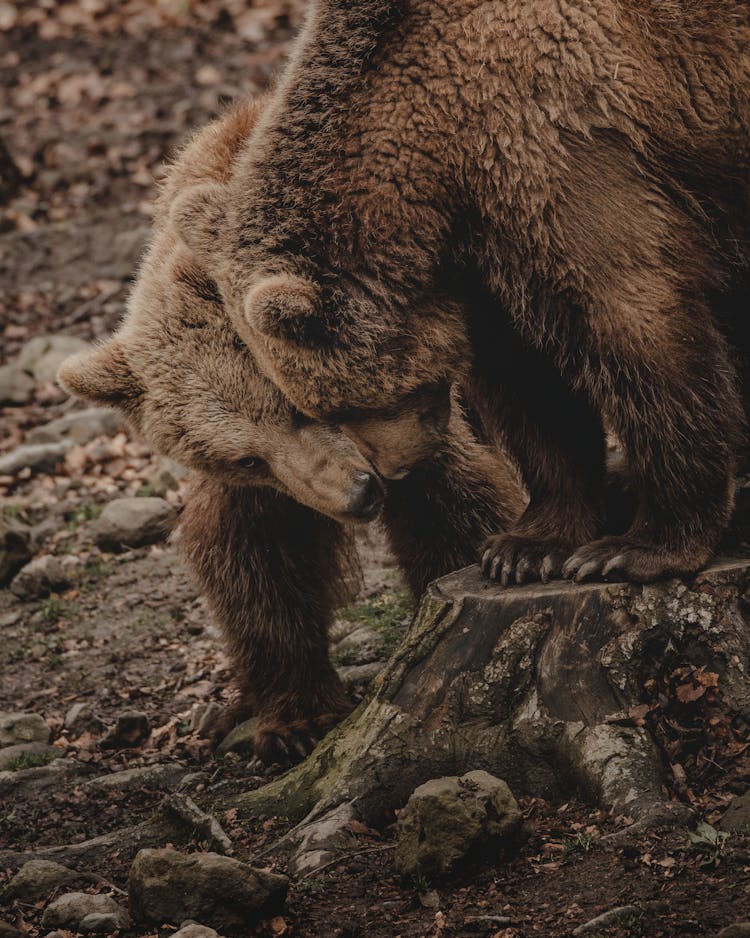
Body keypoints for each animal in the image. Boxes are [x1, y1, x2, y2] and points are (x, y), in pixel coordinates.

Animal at [58, 98, 524, 764]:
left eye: (302, 408)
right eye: (246, 458)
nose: (359, 493)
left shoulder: (413, 414)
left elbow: (455, 507)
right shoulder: (270, 485)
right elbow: (256, 559)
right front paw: (295, 721)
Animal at [176, 0, 750, 584]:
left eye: (330, 410)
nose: (392, 471)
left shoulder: (558, 155)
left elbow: (634, 322)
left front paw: (634, 547)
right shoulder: (482, 257)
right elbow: (528, 384)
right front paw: (525, 548)